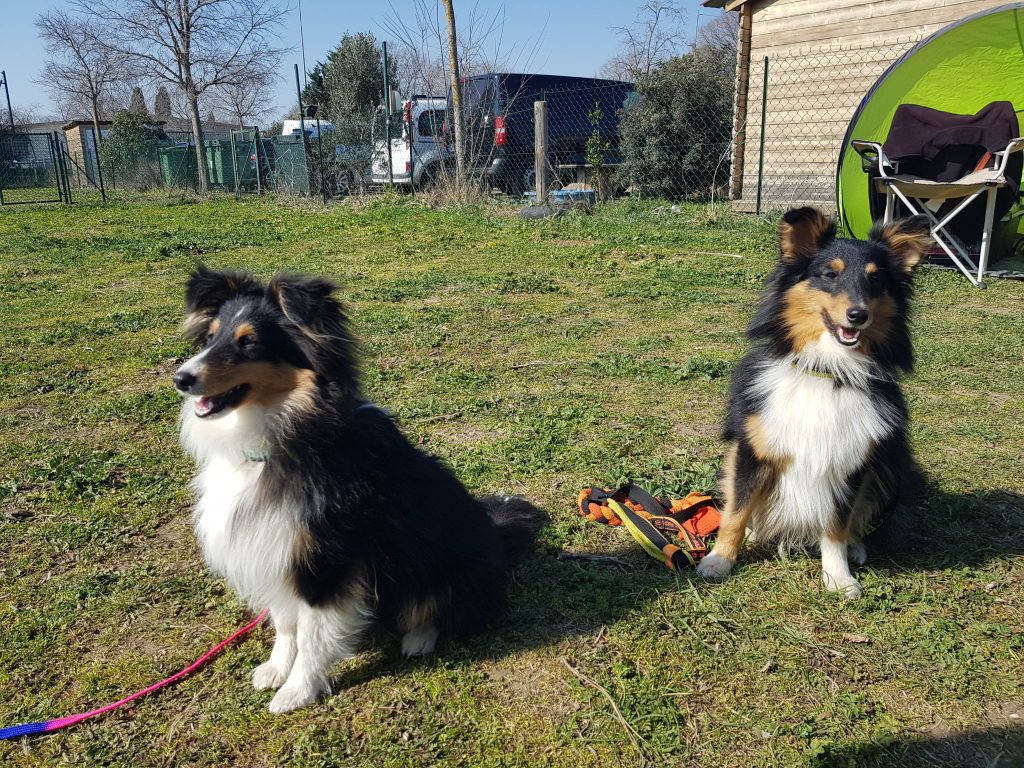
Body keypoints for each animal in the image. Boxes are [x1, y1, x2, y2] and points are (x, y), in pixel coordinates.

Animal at [172, 268, 548, 712]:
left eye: (249, 342)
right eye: (211, 337)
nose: (180, 378)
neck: (286, 432)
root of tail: (497, 537)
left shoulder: (326, 560)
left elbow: (312, 633)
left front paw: (298, 691)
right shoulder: (276, 546)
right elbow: (286, 622)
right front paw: (276, 669)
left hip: (451, 566)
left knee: (446, 608)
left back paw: (419, 638)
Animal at [700, 208, 933, 602]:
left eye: (876, 279)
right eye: (830, 274)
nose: (858, 315)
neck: (827, 370)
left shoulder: (851, 462)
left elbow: (837, 526)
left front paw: (838, 577)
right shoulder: (753, 451)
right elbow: (736, 512)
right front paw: (719, 560)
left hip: (891, 468)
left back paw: (855, 548)